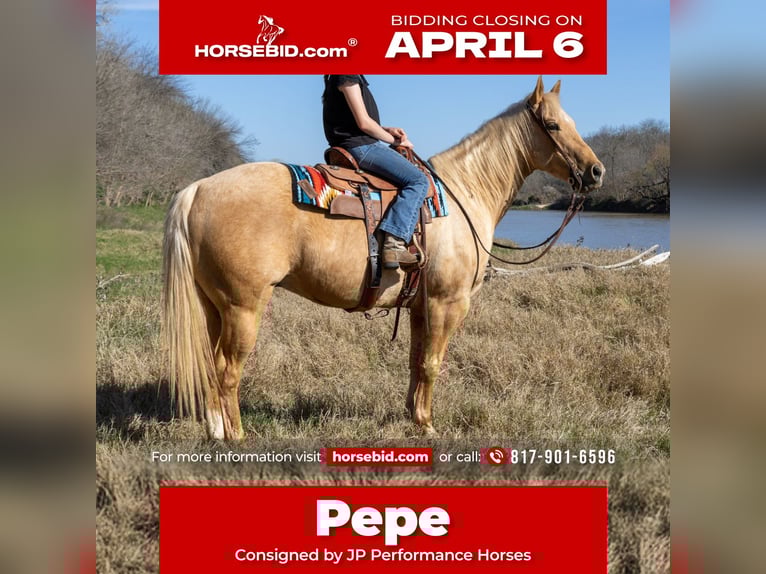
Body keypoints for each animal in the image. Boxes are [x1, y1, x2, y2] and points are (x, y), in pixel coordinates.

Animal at [161, 77, 605, 441]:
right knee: (227, 371)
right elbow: (433, 363)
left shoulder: (420, 306)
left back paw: (217, 430)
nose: (596, 171)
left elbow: (415, 362)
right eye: (553, 125)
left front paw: (414, 418)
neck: (464, 193)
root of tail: (199, 189)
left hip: (214, 306)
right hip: (244, 307)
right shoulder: (448, 302)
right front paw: (429, 426)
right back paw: (236, 437)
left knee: (211, 367)